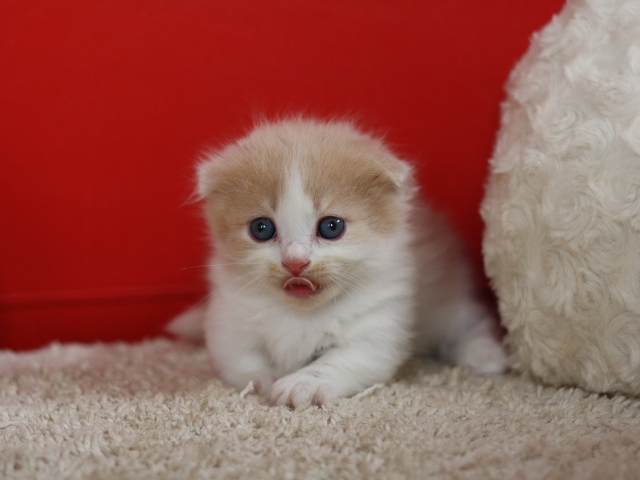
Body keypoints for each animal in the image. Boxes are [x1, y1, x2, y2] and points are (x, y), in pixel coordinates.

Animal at [169, 118, 504, 406]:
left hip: (446, 302)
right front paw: (266, 378)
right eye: (261, 229)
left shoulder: (378, 327)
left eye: (331, 227)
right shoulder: (229, 321)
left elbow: (339, 360)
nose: (295, 262)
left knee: (471, 322)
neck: (301, 314)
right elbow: (240, 358)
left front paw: (301, 384)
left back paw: (486, 356)